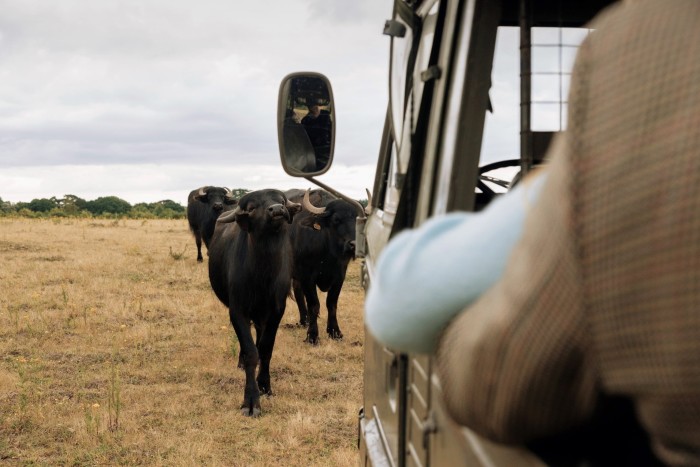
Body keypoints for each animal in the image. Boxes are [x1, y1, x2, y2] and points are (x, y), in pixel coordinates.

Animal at [205, 188, 298, 418]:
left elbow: (265, 348)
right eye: (253, 207)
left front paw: (264, 385)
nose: (277, 209)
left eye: (281, 201)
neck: (264, 273)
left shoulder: (276, 311)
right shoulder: (237, 310)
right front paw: (251, 400)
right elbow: (250, 352)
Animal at [286, 188, 358, 346]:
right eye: (336, 219)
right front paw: (312, 336)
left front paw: (335, 332)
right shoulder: (307, 277)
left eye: (357, 220)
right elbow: (314, 304)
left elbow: (331, 303)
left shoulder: (340, 276)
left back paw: (304, 321)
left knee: (298, 291)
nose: (354, 245)